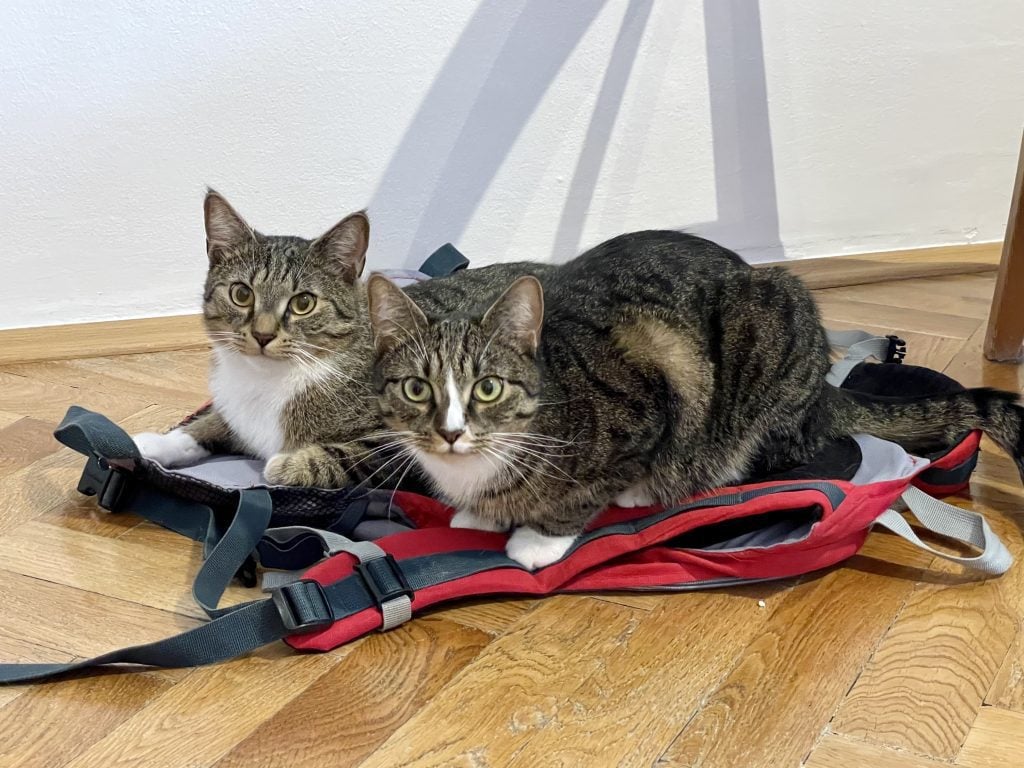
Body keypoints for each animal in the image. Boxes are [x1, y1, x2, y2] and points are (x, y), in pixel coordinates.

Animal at [366, 234, 1024, 573]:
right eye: (417, 388)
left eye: (488, 387)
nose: (450, 433)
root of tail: (823, 388)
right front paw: (479, 514)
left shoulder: (650, 395)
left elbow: (588, 489)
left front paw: (537, 538)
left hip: (764, 350)